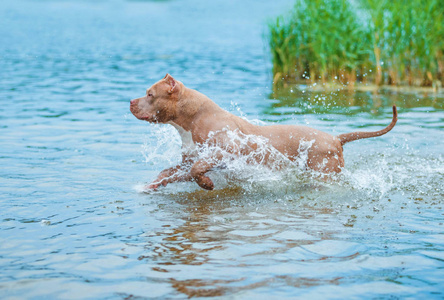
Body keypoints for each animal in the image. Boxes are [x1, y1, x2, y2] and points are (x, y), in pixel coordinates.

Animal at [130, 75, 398, 191]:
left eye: (150, 94)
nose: (131, 101)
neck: (194, 117)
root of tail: (336, 138)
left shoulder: (225, 151)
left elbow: (197, 170)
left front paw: (206, 183)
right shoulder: (189, 159)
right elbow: (171, 171)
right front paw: (153, 184)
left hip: (325, 170)